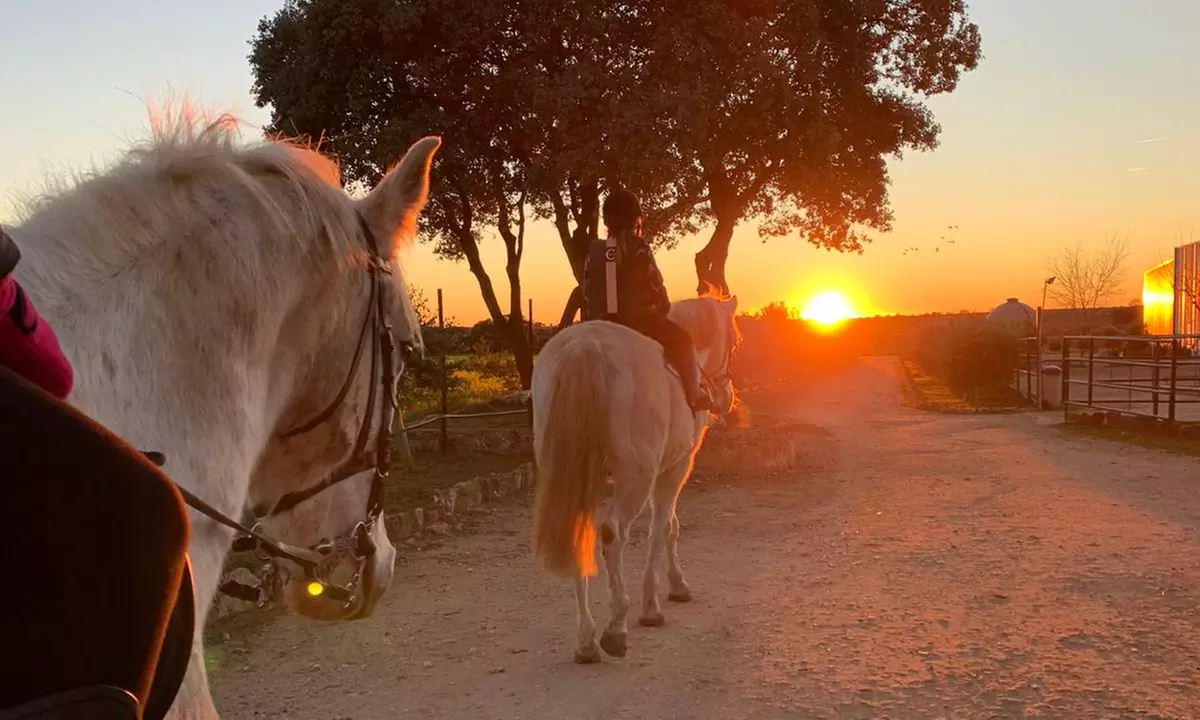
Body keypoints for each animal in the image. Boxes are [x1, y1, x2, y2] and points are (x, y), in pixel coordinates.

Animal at [531, 294, 740, 662]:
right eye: (733, 343)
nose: (726, 398)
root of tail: (585, 347)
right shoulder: (676, 468)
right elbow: (664, 527)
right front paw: (657, 601)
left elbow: (667, 525)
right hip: (636, 477)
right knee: (613, 533)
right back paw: (616, 627)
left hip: (576, 474)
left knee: (578, 534)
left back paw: (586, 641)